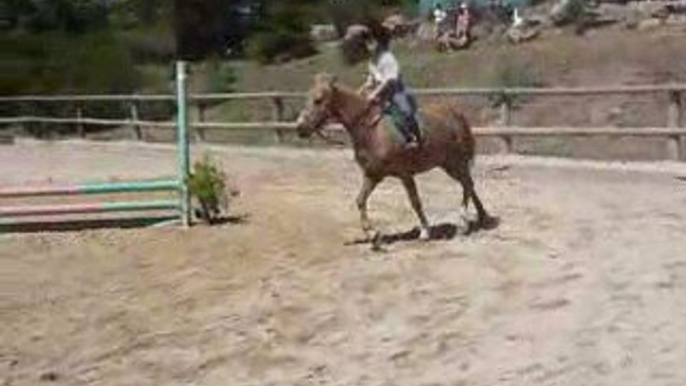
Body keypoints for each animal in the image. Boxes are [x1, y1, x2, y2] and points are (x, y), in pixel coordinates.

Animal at [296, 73, 494, 243]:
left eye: (318, 100)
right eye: (306, 98)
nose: (300, 127)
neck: (371, 131)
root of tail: (456, 113)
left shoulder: (405, 174)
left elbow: (415, 202)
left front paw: (425, 231)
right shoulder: (373, 175)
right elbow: (360, 200)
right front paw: (372, 234)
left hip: (456, 162)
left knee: (467, 185)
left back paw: (463, 223)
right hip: (448, 164)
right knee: (468, 184)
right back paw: (482, 216)